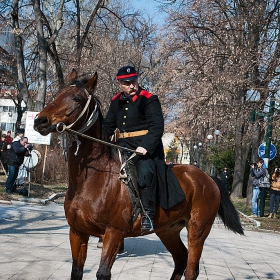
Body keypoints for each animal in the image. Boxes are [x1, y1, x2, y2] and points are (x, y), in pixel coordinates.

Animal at [33, 69, 243, 280]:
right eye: (58, 94)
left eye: (77, 98)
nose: (40, 121)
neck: (92, 181)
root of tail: (208, 178)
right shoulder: (77, 233)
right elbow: (76, 271)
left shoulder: (114, 233)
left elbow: (103, 273)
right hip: (168, 230)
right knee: (180, 259)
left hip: (198, 231)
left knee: (191, 269)